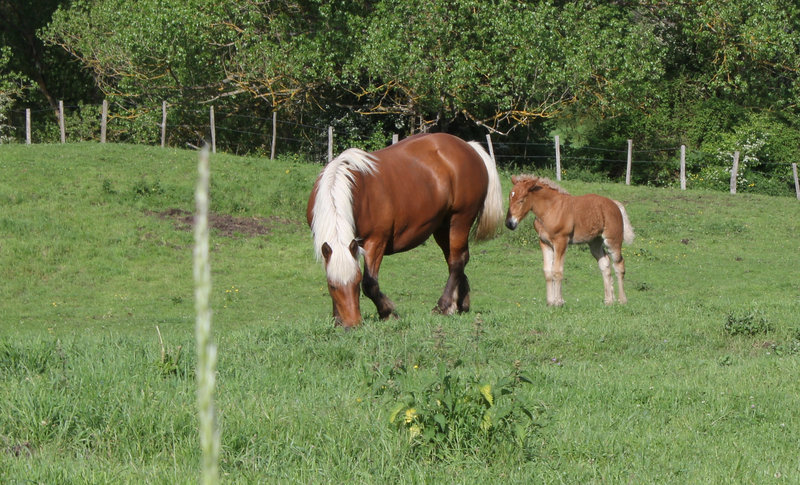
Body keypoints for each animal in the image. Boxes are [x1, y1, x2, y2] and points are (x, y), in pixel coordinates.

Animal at [307, 133, 504, 328]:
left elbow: (370, 283)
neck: (353, 189)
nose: (353, 324)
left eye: (356, 283)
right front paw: (337, 318)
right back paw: (459, 304)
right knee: (457, 260)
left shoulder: (375, 242)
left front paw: (387, 312)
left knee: (457, 262)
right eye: (332, 286)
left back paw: (443, 306)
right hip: (443, 227)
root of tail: (468, 146)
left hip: (459, 220)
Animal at [504, 175, 634, 306]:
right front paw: (550, 302)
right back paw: (609, 301)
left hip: (613, 240)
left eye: (521, 200)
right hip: (594, 242)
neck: (550, 209)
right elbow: (548, 271)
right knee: (605, 264)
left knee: (619, 264)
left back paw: (622, 300)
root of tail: (615, 204)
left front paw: (558, 302)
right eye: (510, 197)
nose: (509, 224)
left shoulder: (561, 241)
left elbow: (557, 271)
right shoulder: (544, 243)